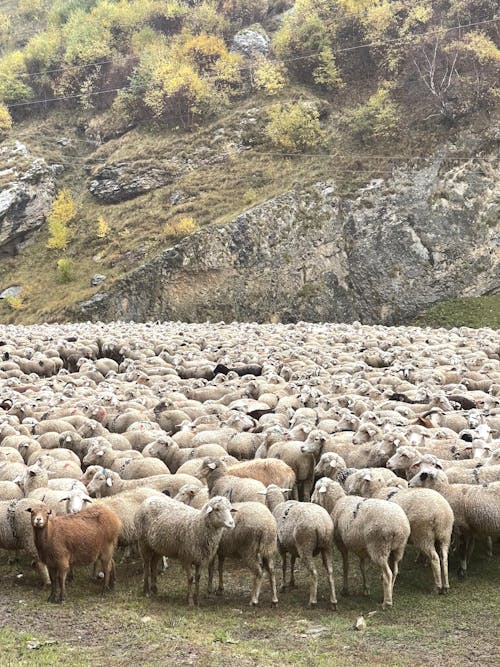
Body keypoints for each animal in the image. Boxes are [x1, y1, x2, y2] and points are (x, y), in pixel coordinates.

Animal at [312, 480, 410, 612]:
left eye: (317, 488)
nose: (311, 499)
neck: (336, 501)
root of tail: (398, 527)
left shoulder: (341, 543)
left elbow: (346, 566)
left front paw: (345, 590)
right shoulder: (361, 548)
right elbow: (362, 567)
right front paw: (366, 589)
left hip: (379, 547)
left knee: (387, 574)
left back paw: (387, 603)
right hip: (398, 549)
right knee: (395, 571)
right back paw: (388, 593)